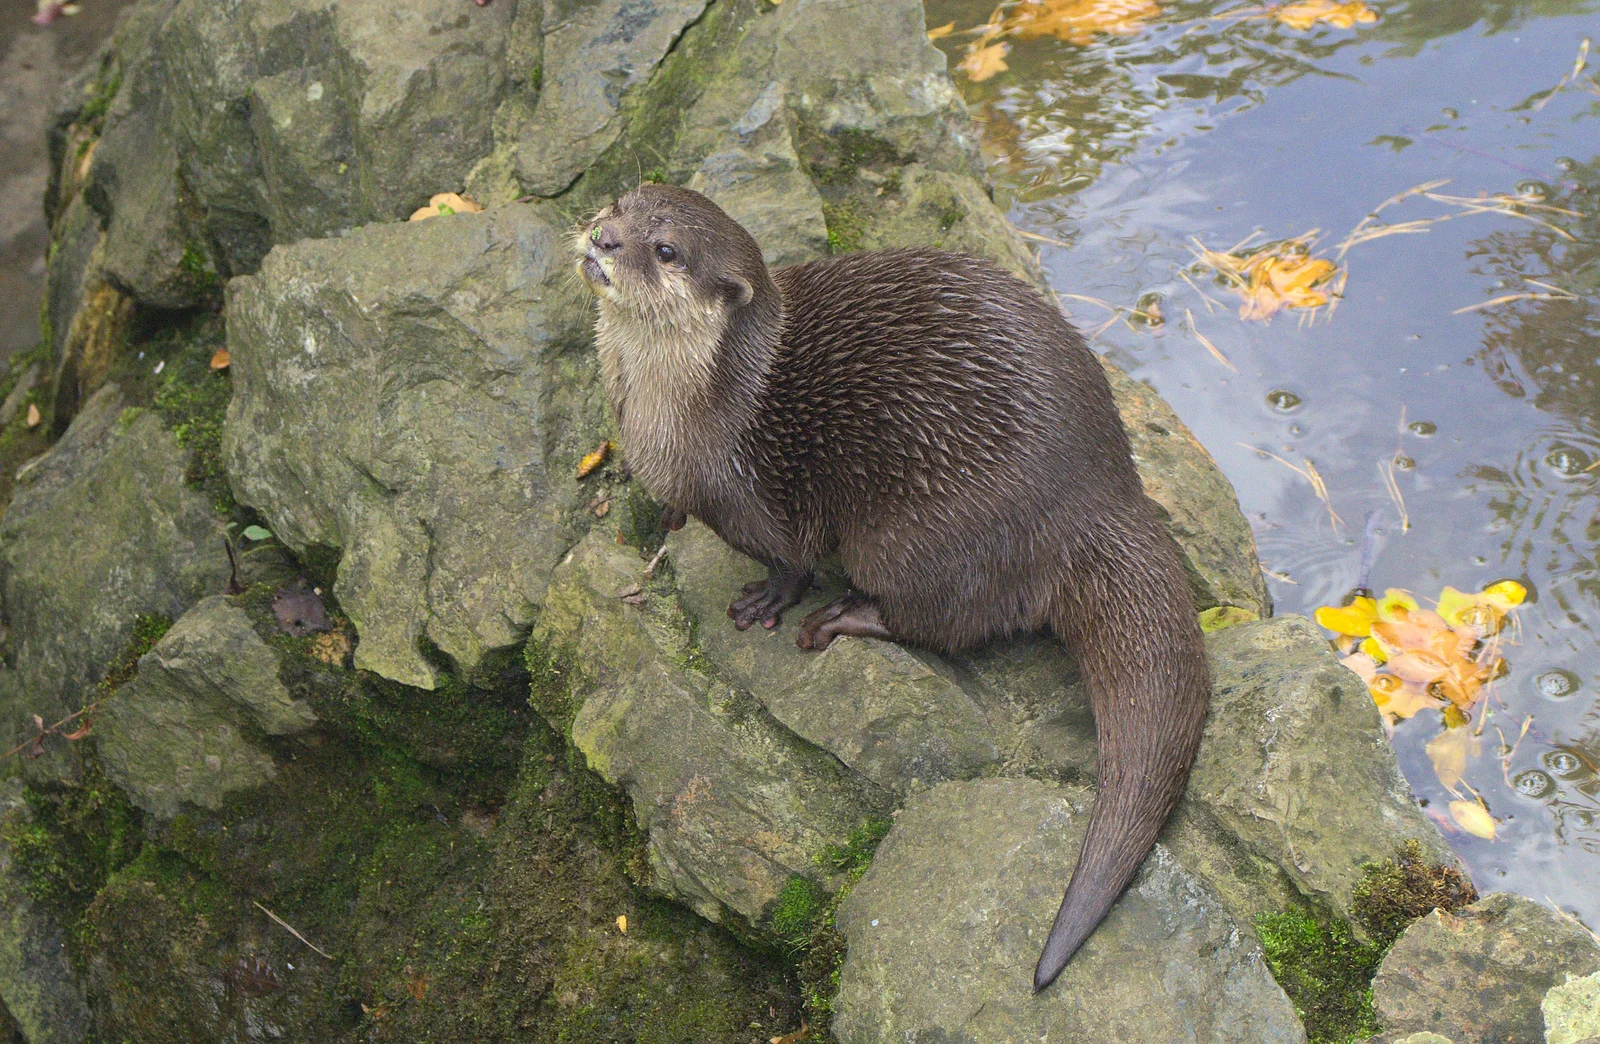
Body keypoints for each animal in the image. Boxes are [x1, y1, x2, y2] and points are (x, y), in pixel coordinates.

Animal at [579, 183, 1209, 992]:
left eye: (665, 251)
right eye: (618, 202)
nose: (601, 238)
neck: (690, 408)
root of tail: (1104, 497)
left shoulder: (757, 493)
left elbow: (792, 557)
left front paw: (765, 601)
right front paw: (667, 515)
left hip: (923, 535)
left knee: (943, 621)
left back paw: (845, 618)